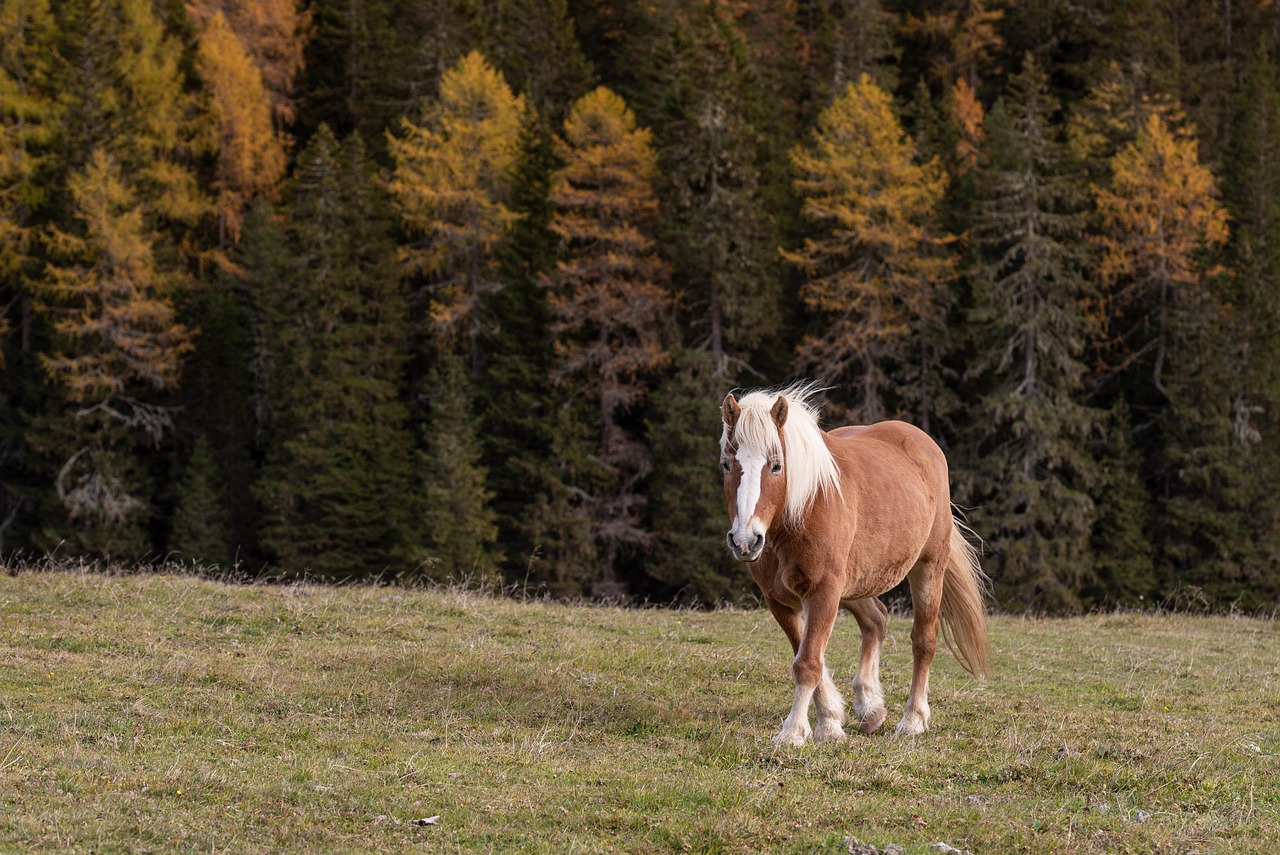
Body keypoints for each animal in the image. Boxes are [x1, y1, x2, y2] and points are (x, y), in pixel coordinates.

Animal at [721, 383, 988, 742]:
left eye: (776, 466)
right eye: (726, 464)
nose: (745, 540)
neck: (804, 508)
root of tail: (923, 442)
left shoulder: (824, 591)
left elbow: (808, 662)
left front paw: (793, 732)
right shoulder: (781, 600)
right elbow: (809, 657)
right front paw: (830, 722)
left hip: (928, 567)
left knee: (923, 640)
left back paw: (913, 719)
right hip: (855, 583)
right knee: (876, 620)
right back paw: (871, 707)